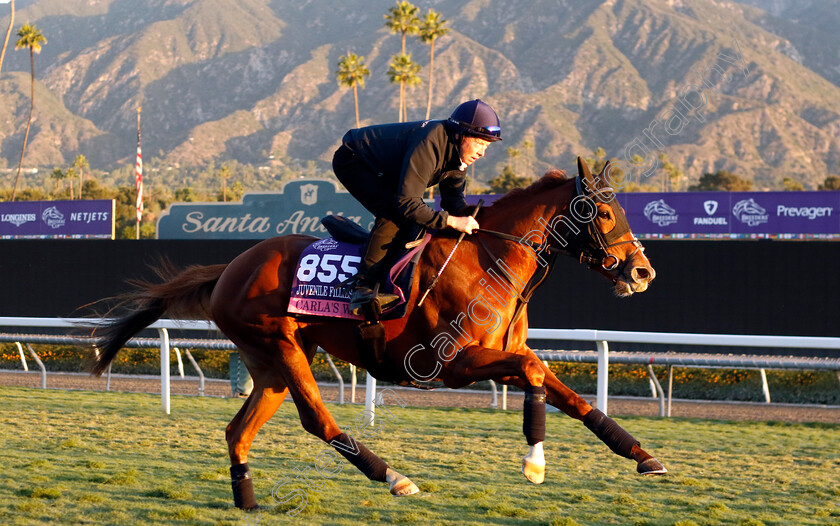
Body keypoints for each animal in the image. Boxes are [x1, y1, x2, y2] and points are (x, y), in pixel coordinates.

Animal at [88, 158, 668, 512]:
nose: (643, 272)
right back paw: (393, 476)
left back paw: (248, 502)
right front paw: (534, 462)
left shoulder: (503, 352)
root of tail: (231, 266)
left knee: (238, 431)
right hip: (281, 346)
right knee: (317, 420)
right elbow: (534, 375)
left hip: (269, 365)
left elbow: (567, 392)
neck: (489, 260)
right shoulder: (451, 364)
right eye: (605, 212)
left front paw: (642, 455)